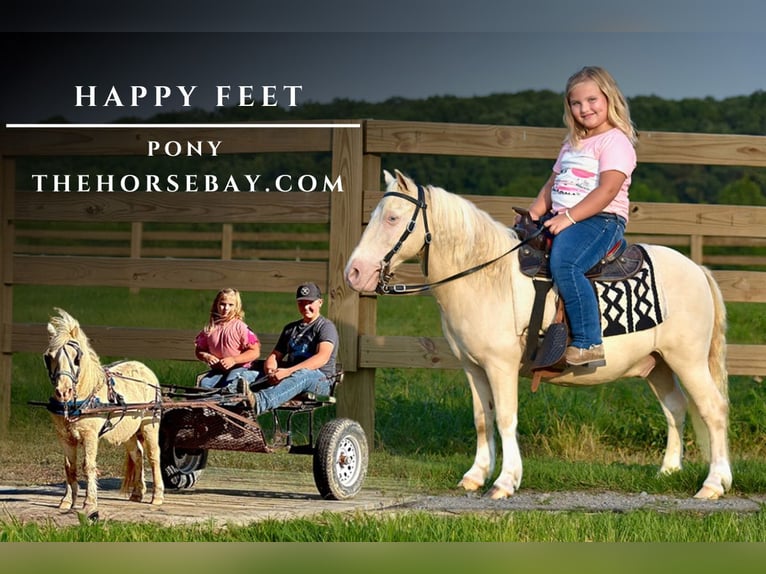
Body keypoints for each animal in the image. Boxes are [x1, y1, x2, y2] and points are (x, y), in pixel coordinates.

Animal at [45, 308, 165, 520]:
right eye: (49, 357)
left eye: (76, 358)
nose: (63, 391)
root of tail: (145, 369)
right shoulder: (64, 437)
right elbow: (69, 467)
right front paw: (67, 501)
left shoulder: (90, 435)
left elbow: (88, 466)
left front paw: (89, 504)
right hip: (128, 429)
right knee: (137, 454)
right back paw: (137, 493)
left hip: (149, 425)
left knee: (153, 455)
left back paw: (157, 496)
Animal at [346, 170, 732, 500]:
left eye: (392, 218)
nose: (354, 272)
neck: (486, 276)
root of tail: (698, 269)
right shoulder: (473, 368)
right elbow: (483, 419)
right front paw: (475, 476)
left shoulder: (500, 366)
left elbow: (505, 418)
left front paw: (505, 481)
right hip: (658, 364)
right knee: (675, 408)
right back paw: (668, 470)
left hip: (688, 361)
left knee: (712, 409)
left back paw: (714, 483)